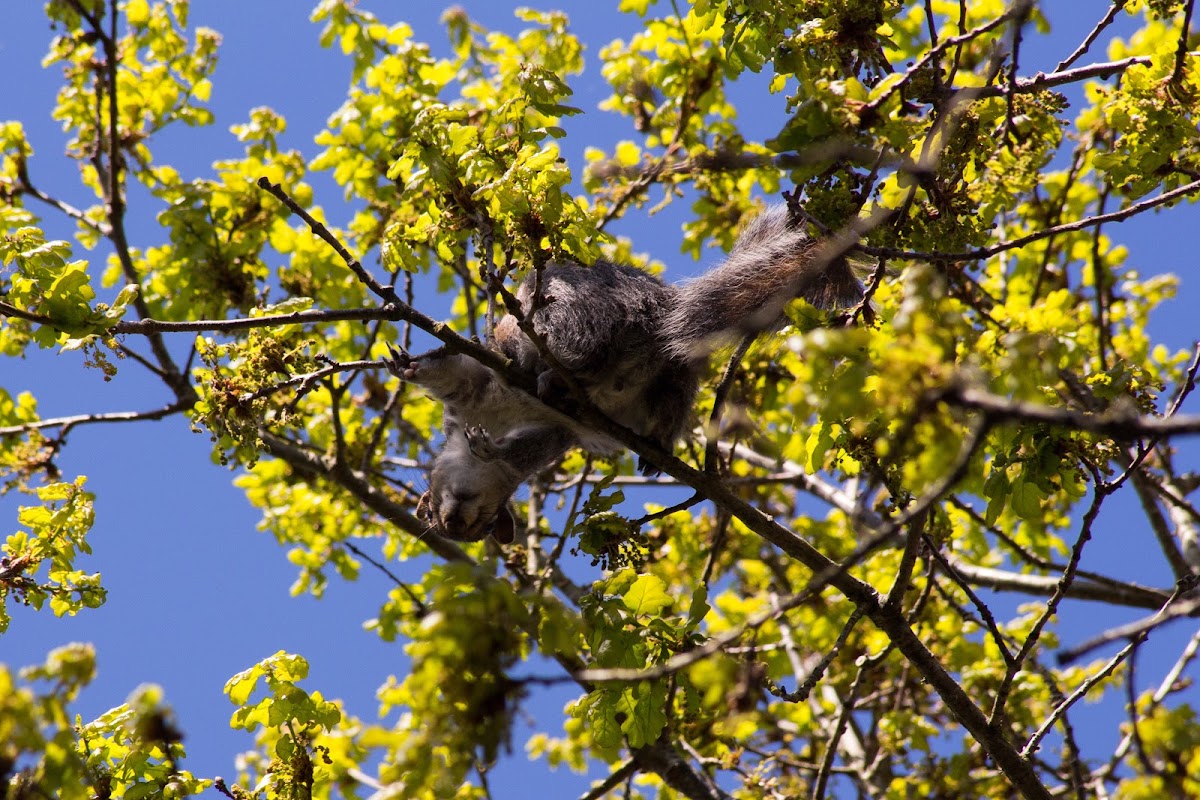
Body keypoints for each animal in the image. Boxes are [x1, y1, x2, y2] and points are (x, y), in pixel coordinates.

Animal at [384, 205, 864, 544]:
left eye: (486, 523)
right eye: (434, 519)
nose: (452, 524)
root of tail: (656, 313)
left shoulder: (526, 416)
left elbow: (494, 418)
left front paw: (489, 449)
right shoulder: (494, 408)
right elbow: (451, 375)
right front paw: (411, 369)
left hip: (569, 307)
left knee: (570, 344)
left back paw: (546, 369)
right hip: (675, 373)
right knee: (669, 400)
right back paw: (657, 441)